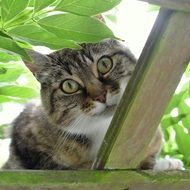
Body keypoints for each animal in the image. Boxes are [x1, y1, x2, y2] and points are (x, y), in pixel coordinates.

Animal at [1, 39, 184, 170]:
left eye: (104, 64)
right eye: (69, 86)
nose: (101, 96)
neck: (102, 128)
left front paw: (166, 164)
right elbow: (78, 167)